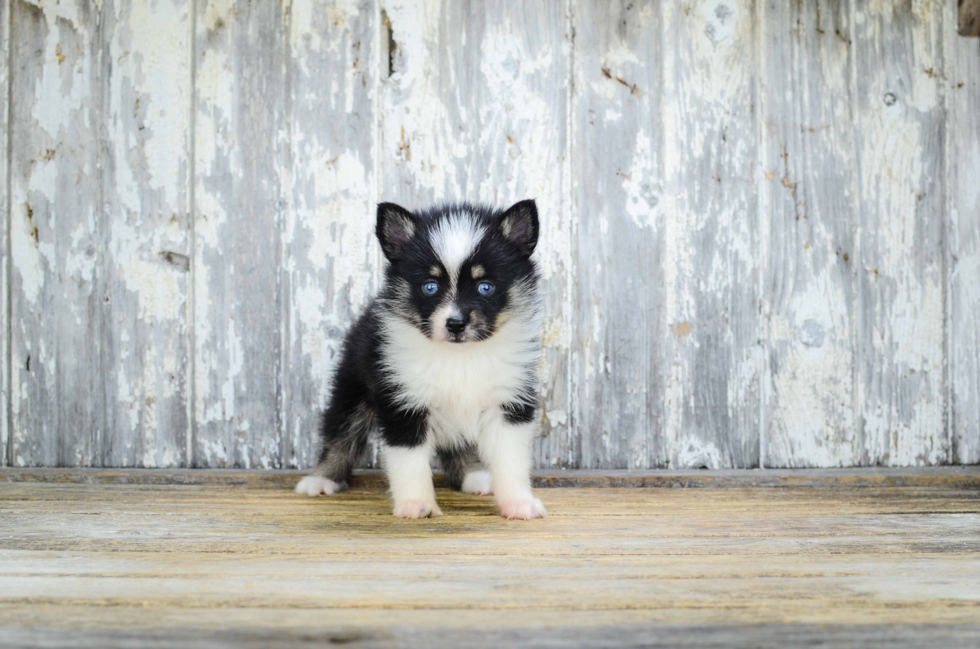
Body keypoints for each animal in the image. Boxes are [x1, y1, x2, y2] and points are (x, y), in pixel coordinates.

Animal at [294, 200, 548, 520]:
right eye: (430, 286)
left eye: (485, 287)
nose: (455, 324)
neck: (460, 356)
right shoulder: (403, 401)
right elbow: (409, 461)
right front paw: (417, 504)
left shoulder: (509, 401)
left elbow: (511, 458)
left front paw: (519, 502)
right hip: (353, 385)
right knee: (341, 432)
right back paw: (321, 479)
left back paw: (474, 476)